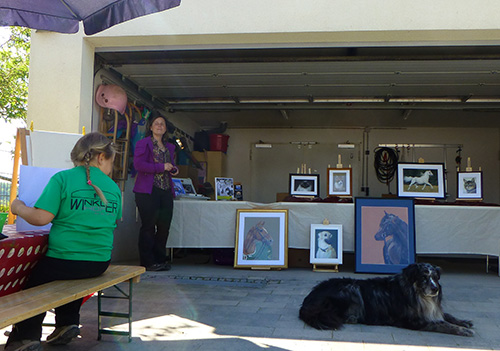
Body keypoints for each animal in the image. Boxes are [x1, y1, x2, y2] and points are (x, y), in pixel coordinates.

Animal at [298, 264, 474, 338]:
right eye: (424, 278)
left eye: (435, 277)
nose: (435, 289)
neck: (415, 293)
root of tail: (309, 298)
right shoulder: (414, 321)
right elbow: (442, 324)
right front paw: (462, 330)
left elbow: (446, 315)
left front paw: (463, 322)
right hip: (351, 288)